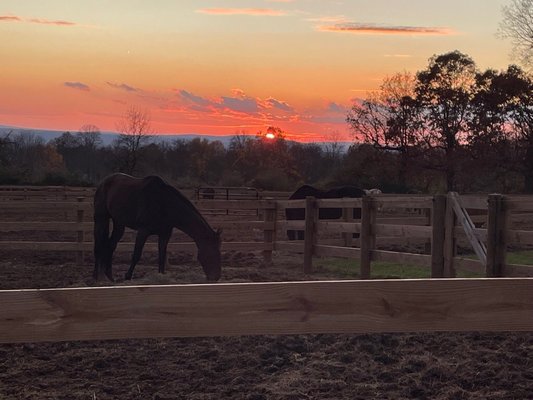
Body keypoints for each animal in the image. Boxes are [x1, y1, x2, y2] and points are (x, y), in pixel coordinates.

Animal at [92, 174, 221, 282]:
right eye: (213, 252)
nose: (216, 277)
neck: (163, 203)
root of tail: (104, 182)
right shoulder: (143, 231)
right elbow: (136, 254)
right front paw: (128, 276)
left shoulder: (165, 234)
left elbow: (162, 256)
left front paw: (161, 275)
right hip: (101, 219)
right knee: (98, 246)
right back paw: (96, 277)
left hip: (119, 223)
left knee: (111, 245)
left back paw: (110, 277)